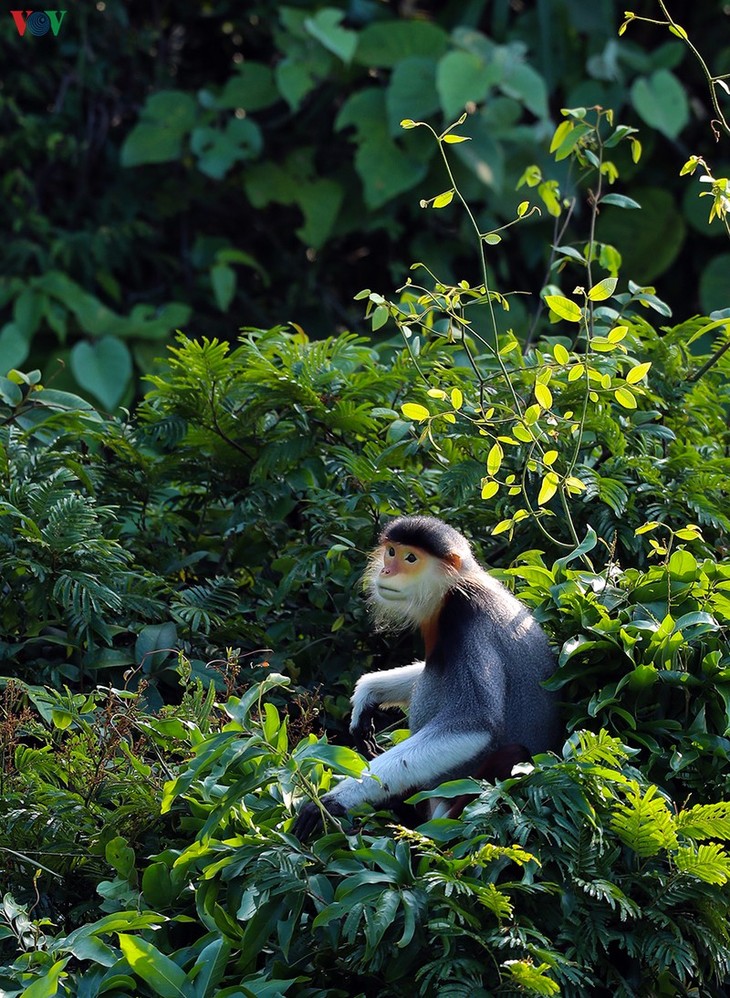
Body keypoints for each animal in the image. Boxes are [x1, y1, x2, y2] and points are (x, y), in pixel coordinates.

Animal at [290, 520, 556, 840]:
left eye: (411, 558)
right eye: (391, 552)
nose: (386, 571)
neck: (454, 588)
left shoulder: (466, 617)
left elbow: (476, 722)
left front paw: (336, 799)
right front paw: (367, 695)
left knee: (512, 753)